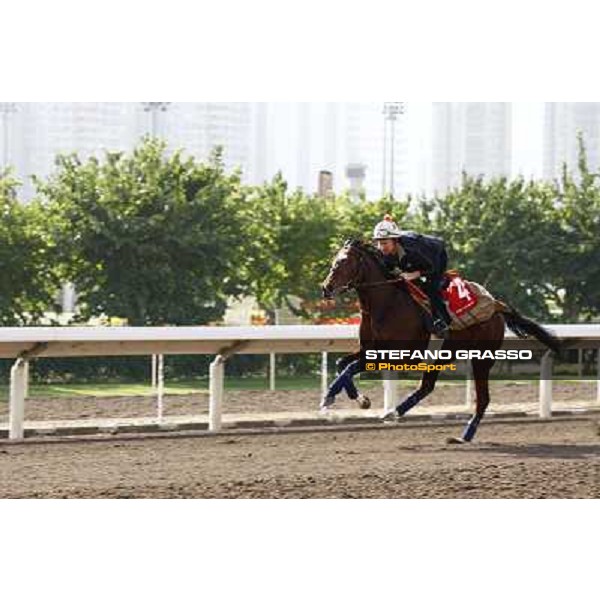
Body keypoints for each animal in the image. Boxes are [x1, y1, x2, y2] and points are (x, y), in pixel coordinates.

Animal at [322, 240, 560, 446]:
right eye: (334, 260)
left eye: (344, 262)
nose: (326, 288)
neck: (387, 304)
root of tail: (496, 305)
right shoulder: (369, 349)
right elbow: (342, 364)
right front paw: (359, 398)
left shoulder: (401, 355)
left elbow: (351, 367)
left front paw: (328, 397)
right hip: (446, 354)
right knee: (427, 386)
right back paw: (394, 413)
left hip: (481, 358)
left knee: (482, 398)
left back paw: (464, 436)